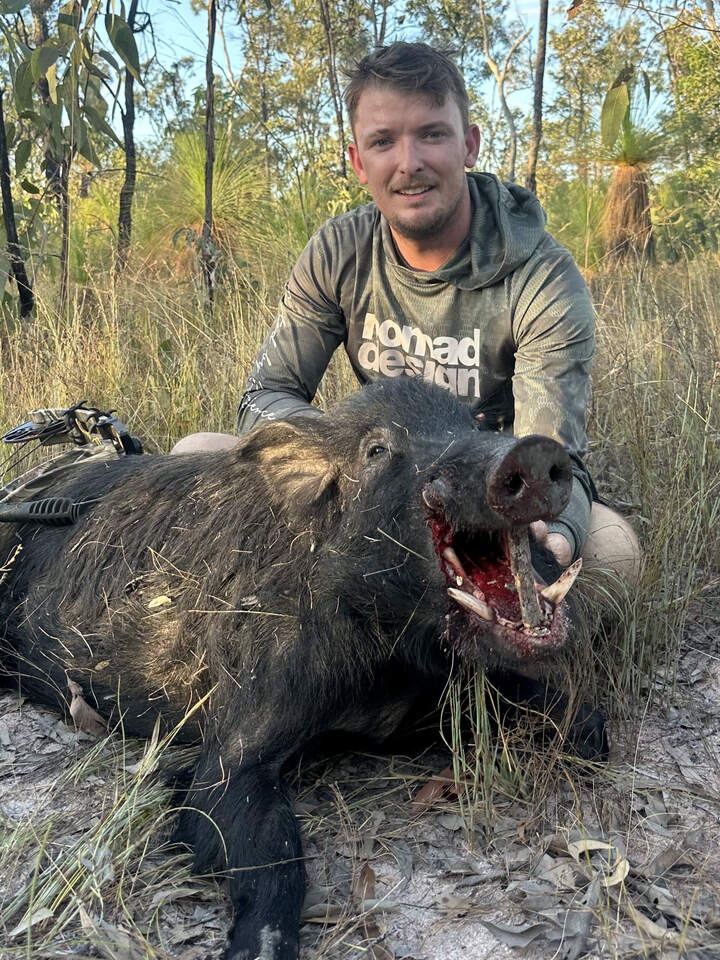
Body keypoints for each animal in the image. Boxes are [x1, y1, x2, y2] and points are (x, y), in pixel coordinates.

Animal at [0, 377, 605, 960]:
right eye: (377, 449)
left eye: (474, 422)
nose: (533, 451)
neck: (383, 669)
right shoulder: (239, 734)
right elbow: (268, 854)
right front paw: (254, 950)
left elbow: (580, 720)